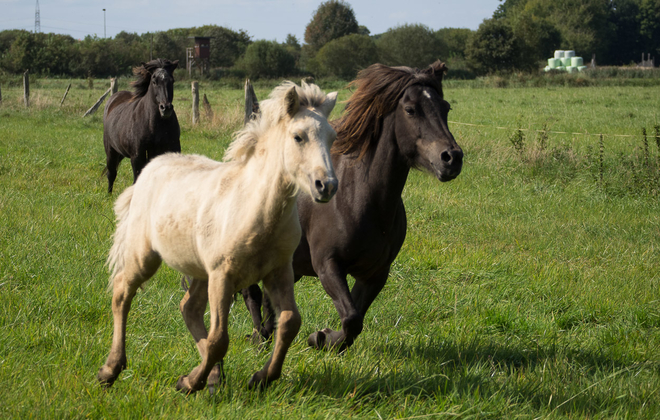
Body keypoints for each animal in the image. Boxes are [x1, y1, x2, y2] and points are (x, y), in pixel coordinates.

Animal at [98, 81, 340, 394]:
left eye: (332, 138)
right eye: (298, 136)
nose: (327, 186)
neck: (256, 210)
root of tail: (147, 172)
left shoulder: (279, 271)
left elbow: (288, 323)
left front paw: (261, 378)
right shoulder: (223, 275)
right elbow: (219, 339)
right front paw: (190, 383)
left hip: (201, 271)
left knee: (188, 307)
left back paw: (210, 376)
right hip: (145, 256)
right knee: (121, 293)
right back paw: (111, 370)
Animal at [102, 58, 180, 193]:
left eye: (172, 80)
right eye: (154, 81)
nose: (166, 108)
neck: (154, 126)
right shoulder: (137, 157)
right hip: (111, 151)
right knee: (111, 173)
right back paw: (109, 195)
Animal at [238, 61, 464, 352]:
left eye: (445, 108)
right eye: (410, 109)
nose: (452, 158)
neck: (359, 200)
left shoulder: (375, 273)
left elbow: (355, 319)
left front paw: (324, 338)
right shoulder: (328, 266)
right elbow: (351, 317)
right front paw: (319, 338)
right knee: (251, 293)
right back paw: (259, 337)